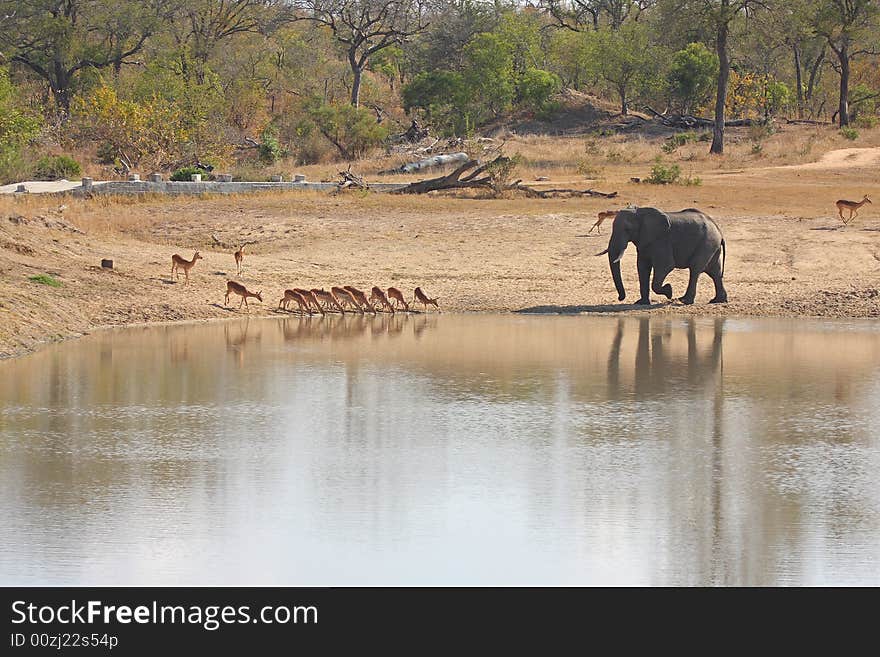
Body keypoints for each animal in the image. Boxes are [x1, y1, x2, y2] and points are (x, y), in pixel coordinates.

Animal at [600, 206, 728, 306]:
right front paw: (641, 303)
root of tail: (719, 231)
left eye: (627, 229)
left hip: (707, 242)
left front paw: (669, 291)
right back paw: (717, 301)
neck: (640, 213)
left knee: (695, 269)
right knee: (715, 272)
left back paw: (684, 301)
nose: (620, 298)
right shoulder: (644, 241)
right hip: (712, 245)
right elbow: (642, 267)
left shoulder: (662, 240)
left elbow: (666, 266)